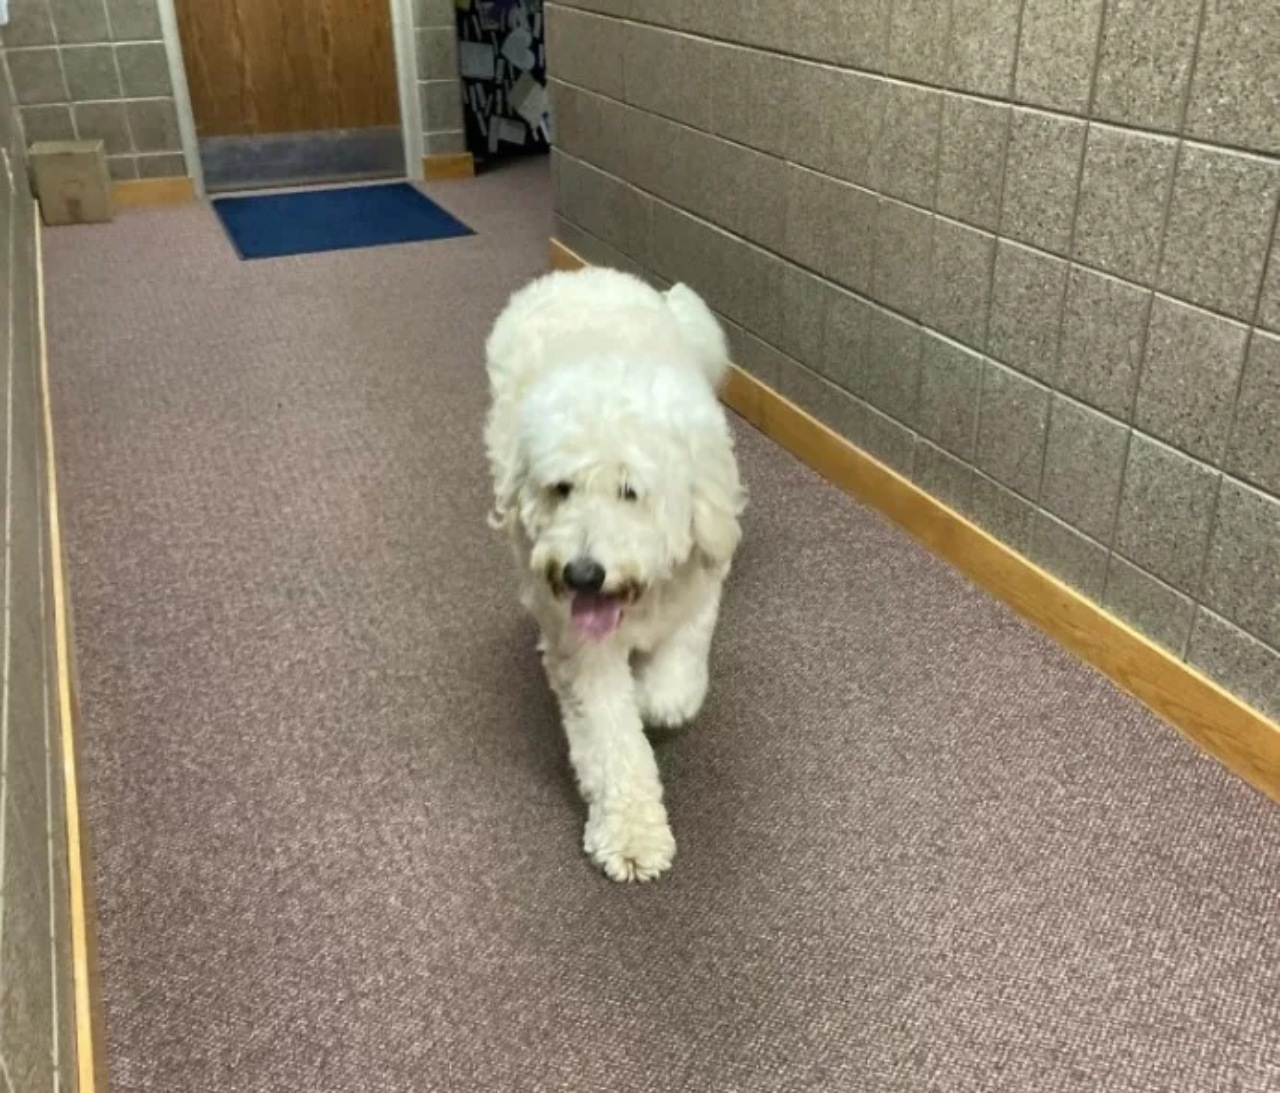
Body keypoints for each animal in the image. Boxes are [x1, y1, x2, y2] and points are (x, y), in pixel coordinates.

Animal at [483, 270, 747, 885]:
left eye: (631, 491)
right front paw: (631, 838)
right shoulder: (584, 648)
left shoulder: (702, 585)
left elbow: (676, 683)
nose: (581, 573)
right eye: (561, 488)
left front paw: (655, 697)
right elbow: (613, 741)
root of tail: (582, 274)